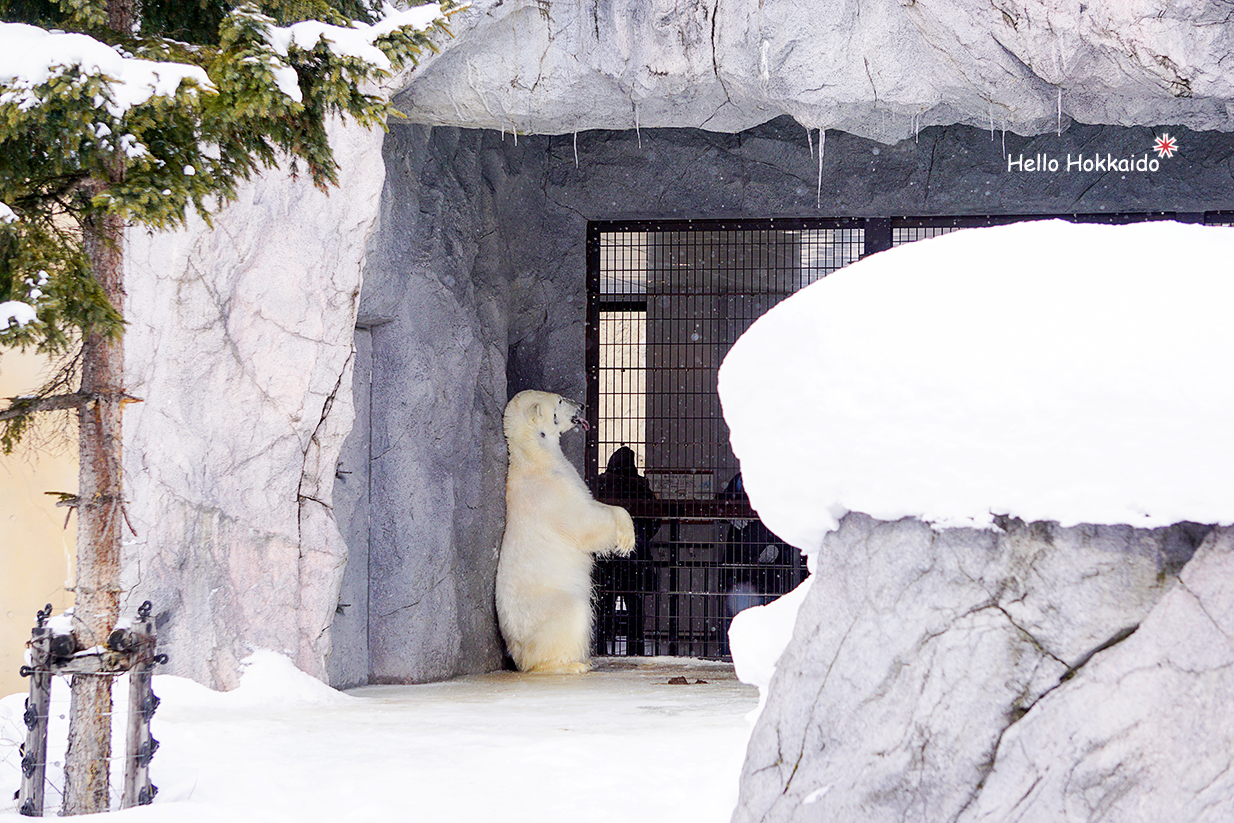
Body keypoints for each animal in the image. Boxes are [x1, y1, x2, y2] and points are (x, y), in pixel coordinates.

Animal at [498, 389, 641, 671]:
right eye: (560, 400)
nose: (582, 405)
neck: (534, 459)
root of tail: (517, 653)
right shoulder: (551, 493)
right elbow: (584, 522)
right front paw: (625, 541)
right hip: (548, 607)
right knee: (574, 613)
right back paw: (573, 664)